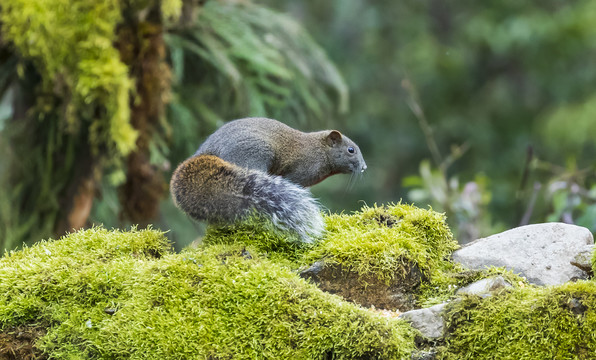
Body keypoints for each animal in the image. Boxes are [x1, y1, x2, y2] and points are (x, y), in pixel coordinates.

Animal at [169, 118, 368, 242]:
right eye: (351, 150)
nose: (365, 167)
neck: (320, 150)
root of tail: (209, 152)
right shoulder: (299, 173)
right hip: (252, 157)